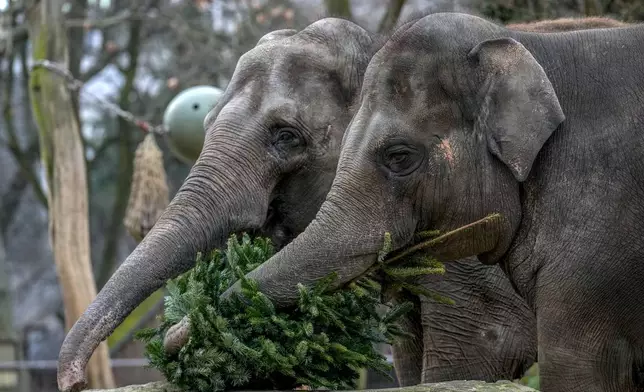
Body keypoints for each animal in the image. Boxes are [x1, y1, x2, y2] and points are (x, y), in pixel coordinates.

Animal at [55, 12, 628, 392]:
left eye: (286, 136)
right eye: (207, 121)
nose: (75, 383)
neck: (377, 40)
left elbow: (475, 352)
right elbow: (409, 356)